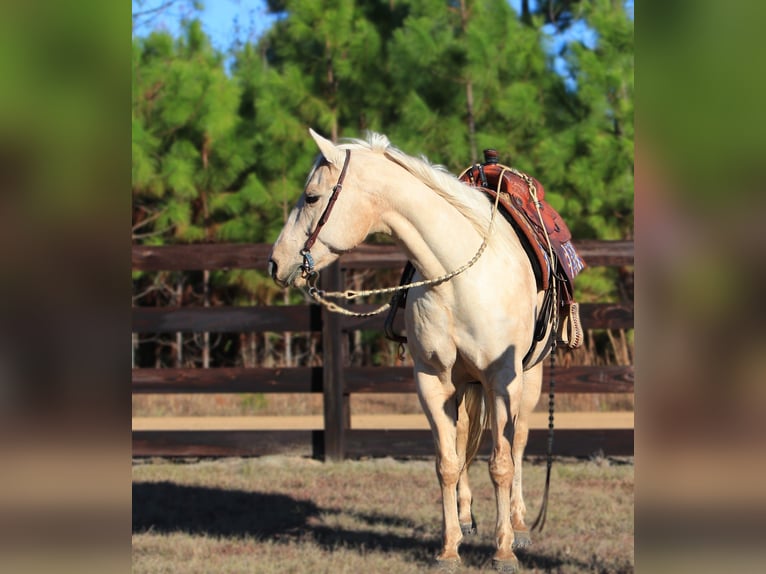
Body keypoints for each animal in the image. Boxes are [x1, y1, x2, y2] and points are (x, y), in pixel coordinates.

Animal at [269, 129, 554, 572]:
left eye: (312, 197)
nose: (276, 262)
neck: (458, 276)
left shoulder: (502, 378)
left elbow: (502, 462)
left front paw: (504, 550)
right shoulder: (432, 381)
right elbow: (447, 463)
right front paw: (449, 548)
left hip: (530, 376)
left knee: (519, 439)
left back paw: (521, 525)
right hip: (464, 384)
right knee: (464, 437)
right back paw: (467, 518)